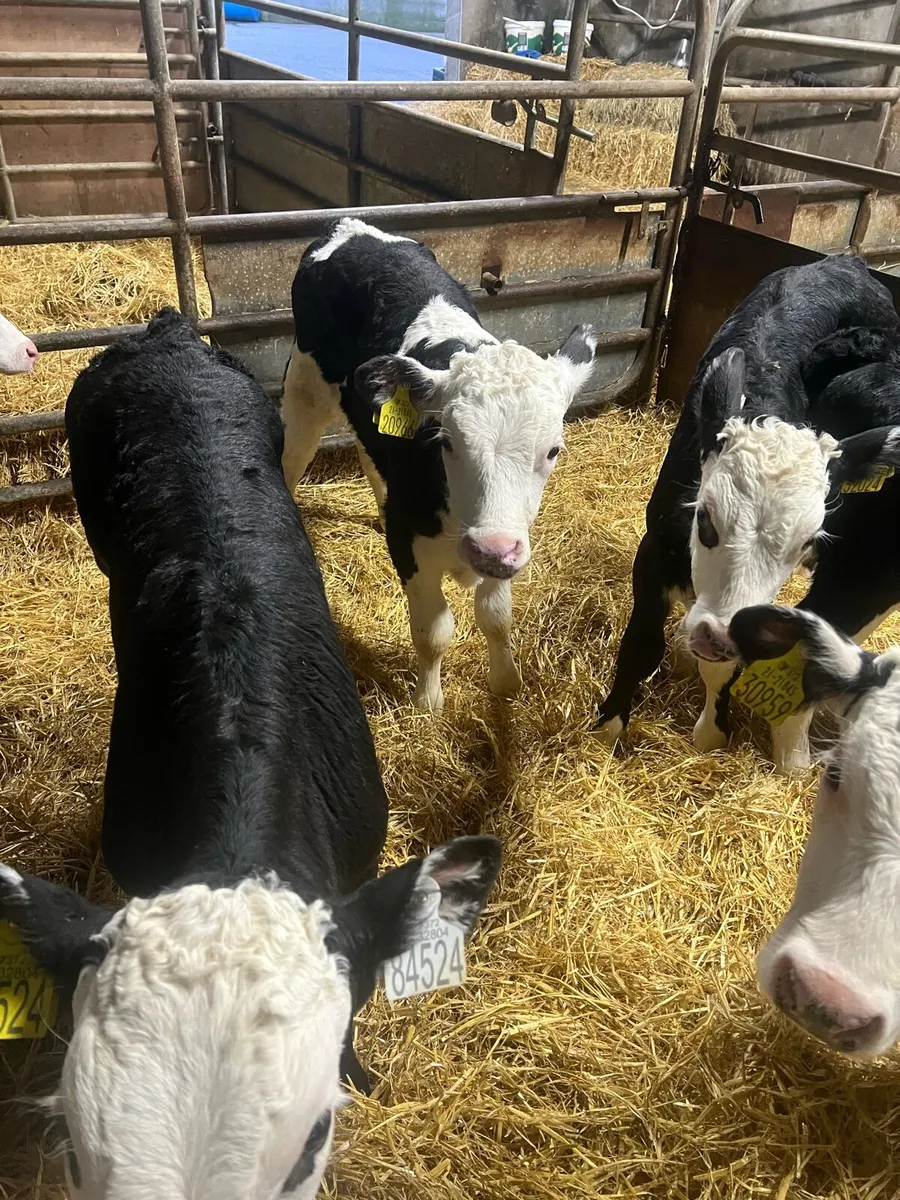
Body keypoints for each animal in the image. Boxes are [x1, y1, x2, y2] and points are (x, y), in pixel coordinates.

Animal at [279, 217, 597, 713]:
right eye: (446, 442)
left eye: (553, 451)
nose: (491, 550)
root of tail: (350, 225)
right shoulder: (409, 544)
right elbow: (433, 631)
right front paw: (428, 702)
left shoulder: (506, 538)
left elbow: (496, 617)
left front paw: (505, 683)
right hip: (305, 389)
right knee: (292, 457)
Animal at [594, 254, 900, 773]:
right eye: (704, 519)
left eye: (806, 542)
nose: (719, 633)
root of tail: (850, 261)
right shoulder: (653, 549)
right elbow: (640, 645)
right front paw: (607, 729)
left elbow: (722, 669)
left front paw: (711, 732)